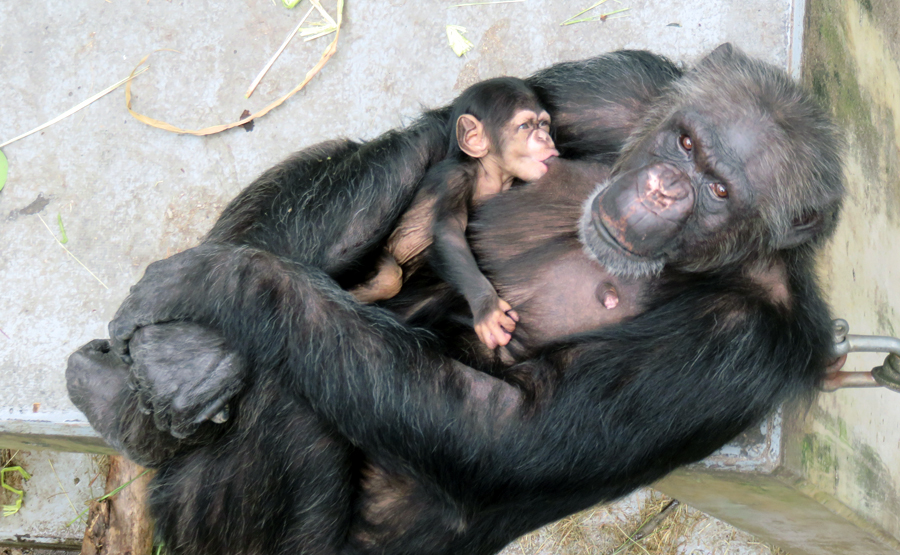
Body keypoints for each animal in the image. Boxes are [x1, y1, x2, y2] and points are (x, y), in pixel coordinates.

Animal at [68, 45, 844, 555]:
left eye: (720, 190)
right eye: (684, 142)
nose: (664, 188)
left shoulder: (742, 341)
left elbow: (508, 426)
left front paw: (223, 287)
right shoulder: (629, 86)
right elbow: (442, 131)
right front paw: (179, 355)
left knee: (294, 385)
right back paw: (123, 394)